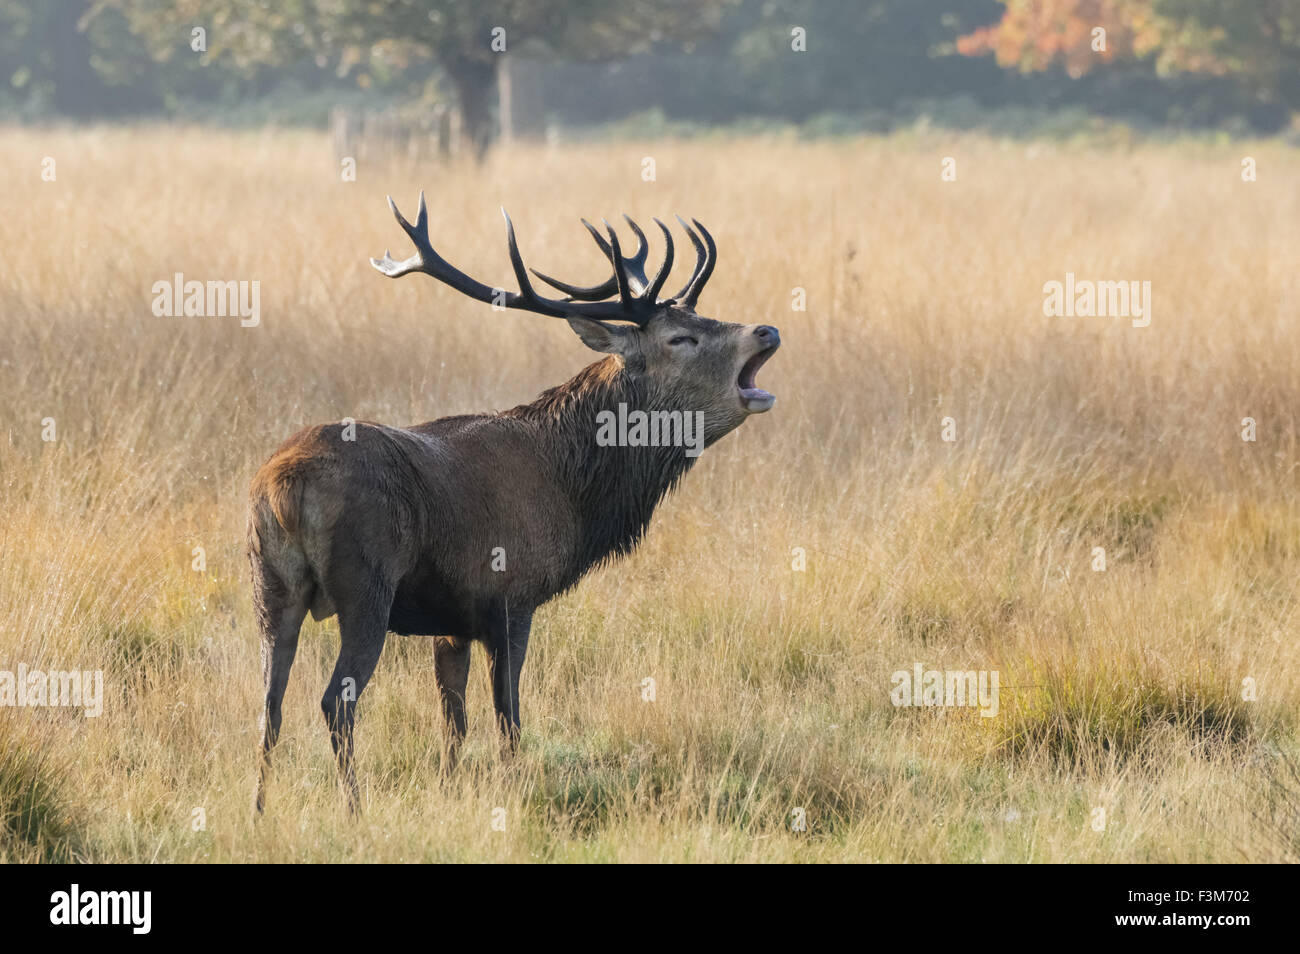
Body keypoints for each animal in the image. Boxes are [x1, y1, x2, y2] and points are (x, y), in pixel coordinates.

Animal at [249, 193, 780, 814]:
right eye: (680, 338)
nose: (766, 330)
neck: (571, 492)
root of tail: (284, 482)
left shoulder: (452, 620)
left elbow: (454, 719)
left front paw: (449, 789)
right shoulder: (512, 598)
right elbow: (510, 718)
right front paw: (514, 789)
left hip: (269, 584)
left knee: (268, 700)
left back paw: (259, 808)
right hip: (367, 586)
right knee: (336, 700)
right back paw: (355, 809)